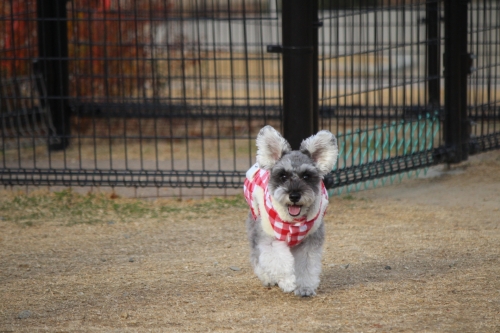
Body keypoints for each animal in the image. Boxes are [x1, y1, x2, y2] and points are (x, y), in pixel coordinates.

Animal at [243, 125, 338, 296]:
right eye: (283, 175)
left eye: (306, 176)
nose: (294, 195)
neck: (294, 222)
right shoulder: (270, 240)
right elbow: (279, 262)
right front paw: (287, 282)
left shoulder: (309, 242)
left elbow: (306, 266)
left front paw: (305, 287)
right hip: (254, 227)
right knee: (256, 256)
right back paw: (267, 277)